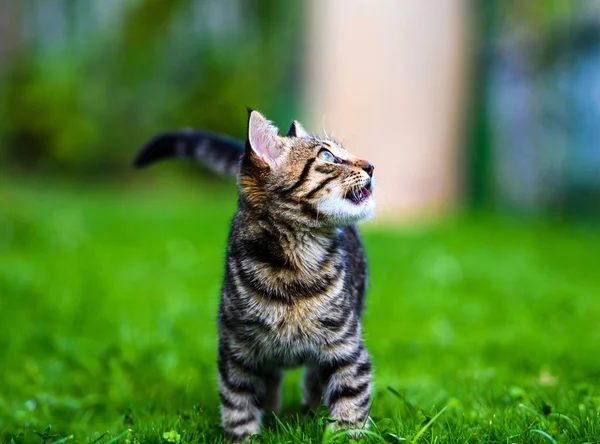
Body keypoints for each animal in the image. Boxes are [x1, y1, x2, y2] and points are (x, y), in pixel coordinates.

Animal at [135, 110, 376, 440]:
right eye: (327, 156)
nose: (370, 165)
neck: (295, 268)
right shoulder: (236, 353)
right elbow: (239, 407)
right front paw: (245, 438)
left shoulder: (347, 348)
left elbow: (350, 405)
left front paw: (344, 435)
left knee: (312, 379)